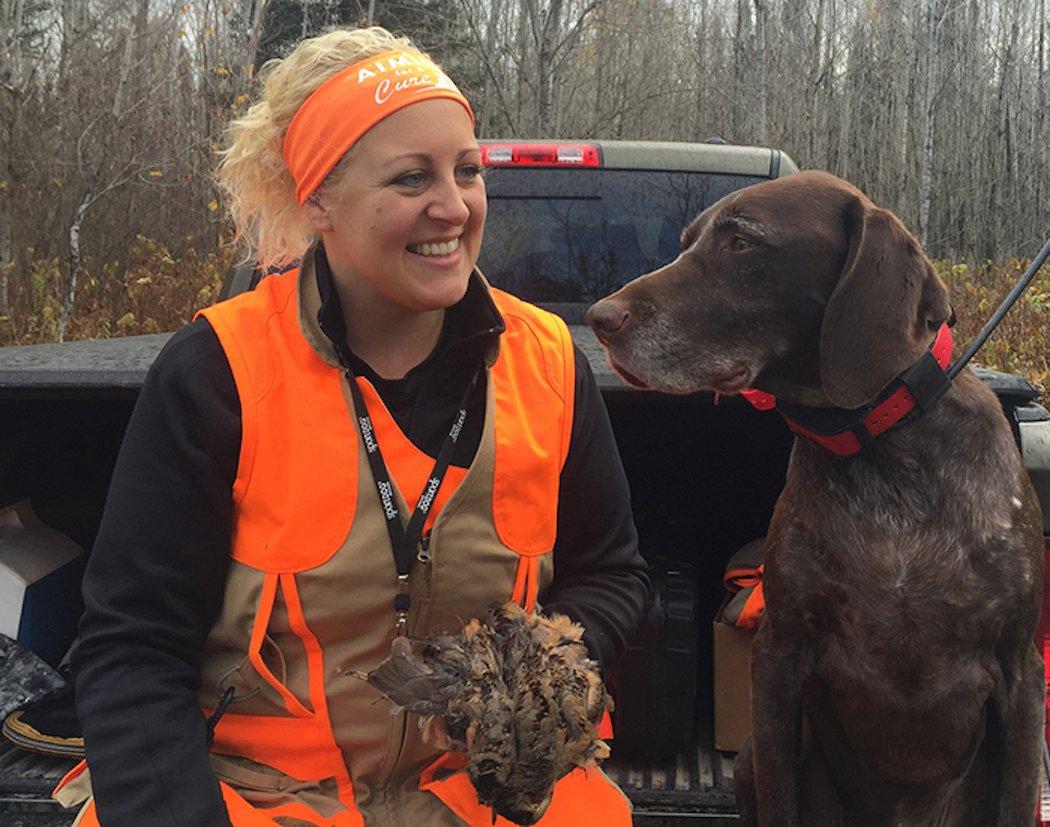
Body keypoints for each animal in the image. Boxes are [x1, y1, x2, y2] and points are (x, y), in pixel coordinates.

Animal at [588, 170, 1045, 827]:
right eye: (687, 241)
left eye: (742, 242)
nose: (601, 317)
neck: (883, 450)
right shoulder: (780, 659)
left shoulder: (1020, 673)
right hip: (750, 758)